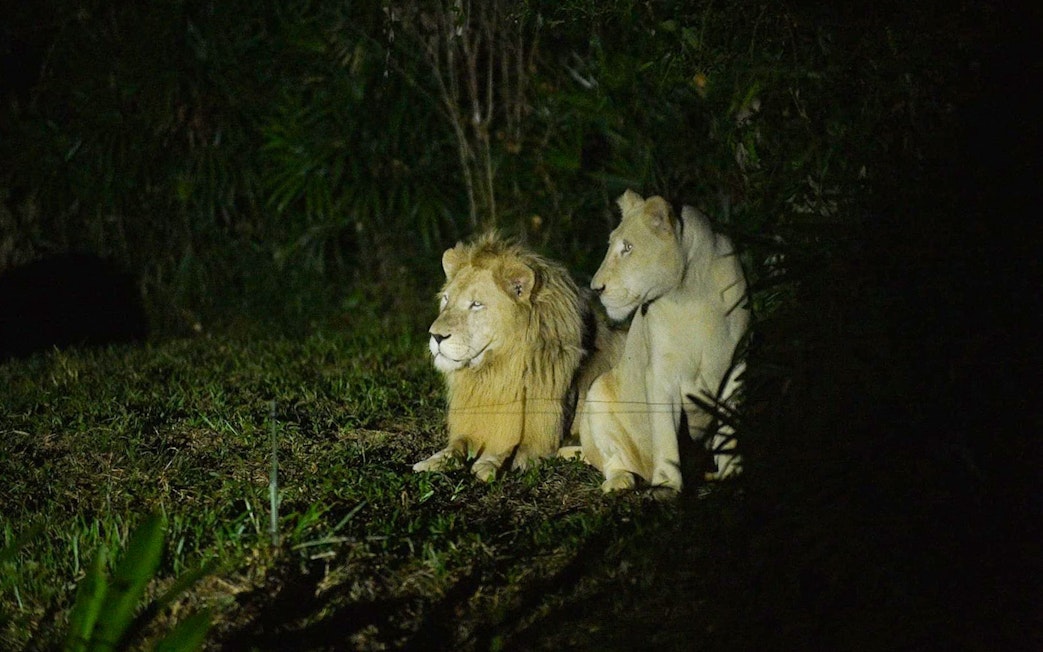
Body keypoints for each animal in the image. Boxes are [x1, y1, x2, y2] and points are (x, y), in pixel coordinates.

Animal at [415, 232, 611, 482]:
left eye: (476, 304)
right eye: (447, 299)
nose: (436, 336)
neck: (495, 372)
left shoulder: (542, 439)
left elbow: (510, 448)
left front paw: (489, 463)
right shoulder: (472, 425)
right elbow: (455, 446)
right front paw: (432, 461)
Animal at [571, 189, 749, 496]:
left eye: (627, 248)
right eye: (612, 246)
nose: (596, 288)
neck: (693, 293)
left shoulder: (737, 367)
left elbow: (729, 430)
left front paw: (732, 474)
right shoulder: (660, 375)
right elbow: (665, 433)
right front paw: (667, 486)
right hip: (597, 394)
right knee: (611, 460)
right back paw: (621, 480)